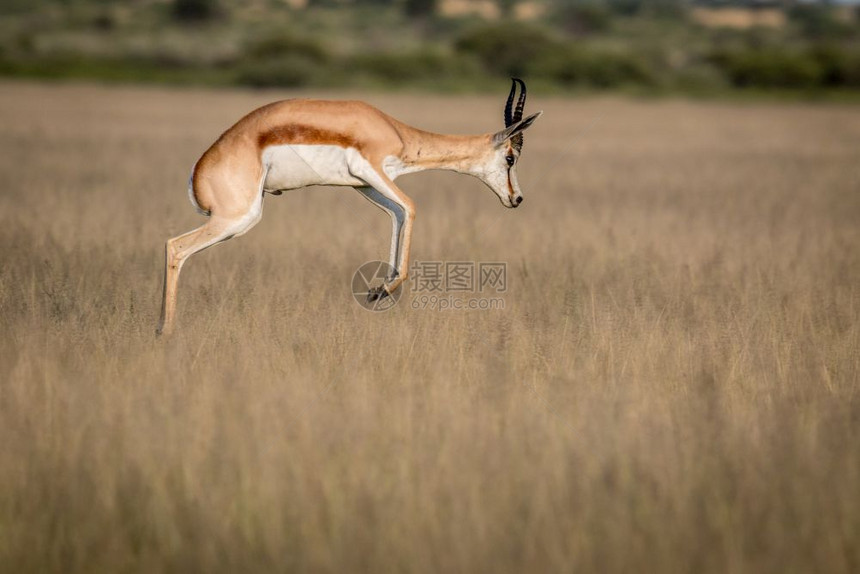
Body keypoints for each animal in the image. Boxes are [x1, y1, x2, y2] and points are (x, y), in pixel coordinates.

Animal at [158, 79, 540, 336]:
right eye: (510, 157)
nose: (517, 198)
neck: (393, 131)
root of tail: (198, 172)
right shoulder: (371, 171)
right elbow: (412, 207)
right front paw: (383, 290)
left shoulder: (365, 185)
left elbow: (397, 215)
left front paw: (378, 289)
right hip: (237, 218)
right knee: (175, 247)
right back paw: (165, 331)